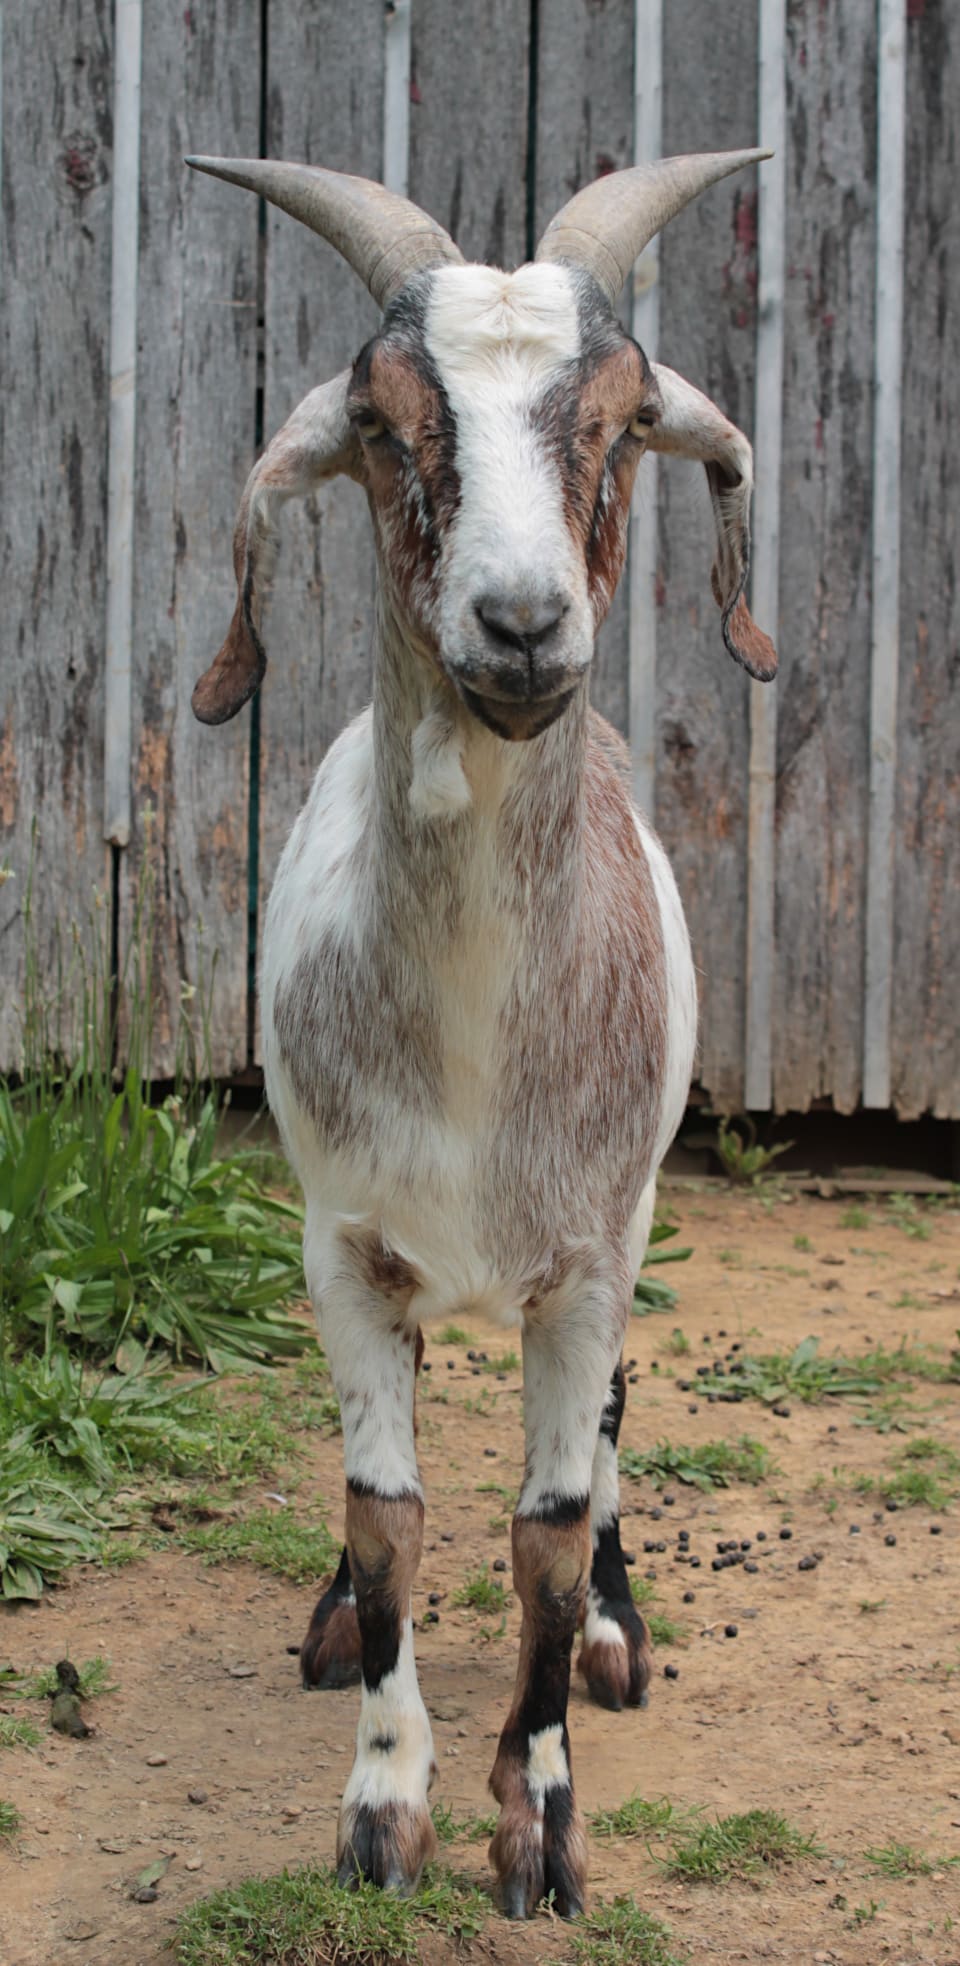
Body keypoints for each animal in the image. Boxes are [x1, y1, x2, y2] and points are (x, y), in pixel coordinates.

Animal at [187, 147, 776, 1918]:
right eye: (383, 420)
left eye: (627, 417)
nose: (519, 624)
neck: (467, 1048)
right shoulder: (340, 1245)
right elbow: (391, 1519)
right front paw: (386, 1805)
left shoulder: (588, 1255)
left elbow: (549, 1532)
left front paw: (543, 1819)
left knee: (606, 1435)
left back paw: (617, 1634)